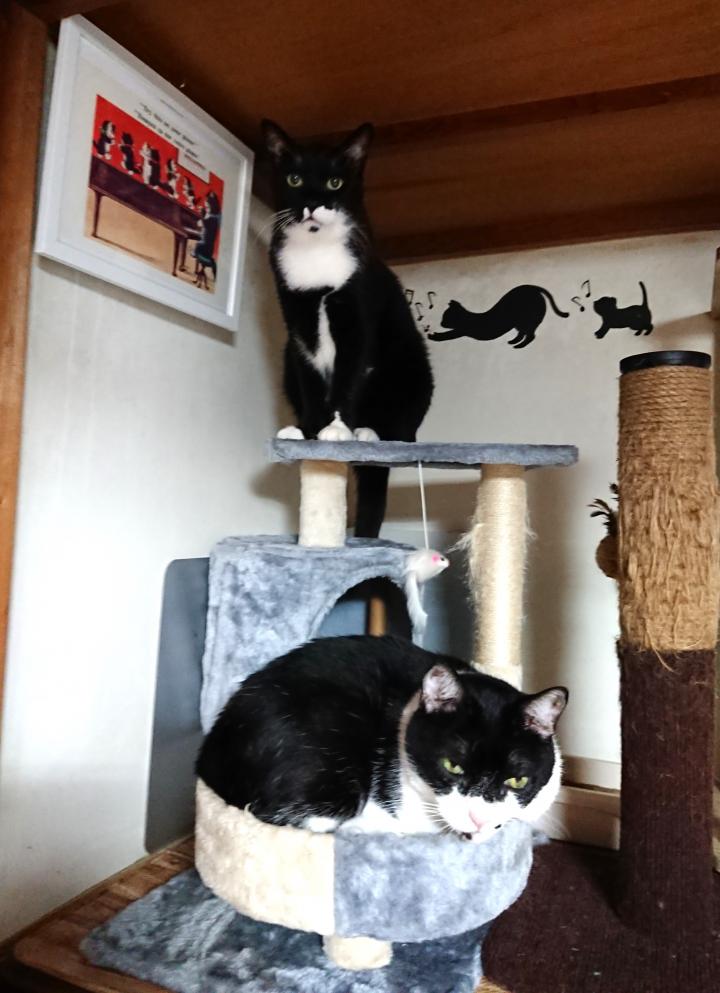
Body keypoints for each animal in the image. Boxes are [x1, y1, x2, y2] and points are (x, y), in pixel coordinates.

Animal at [262, 119, 434, 538]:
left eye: (335, 182)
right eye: (293, 178)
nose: (311, 203)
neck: (316, 255)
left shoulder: (357, 311)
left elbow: (347, 374)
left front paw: (337, 430)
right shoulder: (297, 322)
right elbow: (310, 379)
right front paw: (310, 434)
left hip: (412, 366)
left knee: (402, 428)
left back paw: (368, 433)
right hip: (285, 359)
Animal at [430, 286, 569, 349]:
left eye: (445, 318)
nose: (441, 323)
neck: (466, 318)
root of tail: (533, 288)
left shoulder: (461, 330)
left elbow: (447, 334)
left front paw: (434, 336)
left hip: (527, 320)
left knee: (530, 335)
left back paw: (519, 346)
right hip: (520, 322)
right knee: (523, 333)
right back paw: (513, 342)